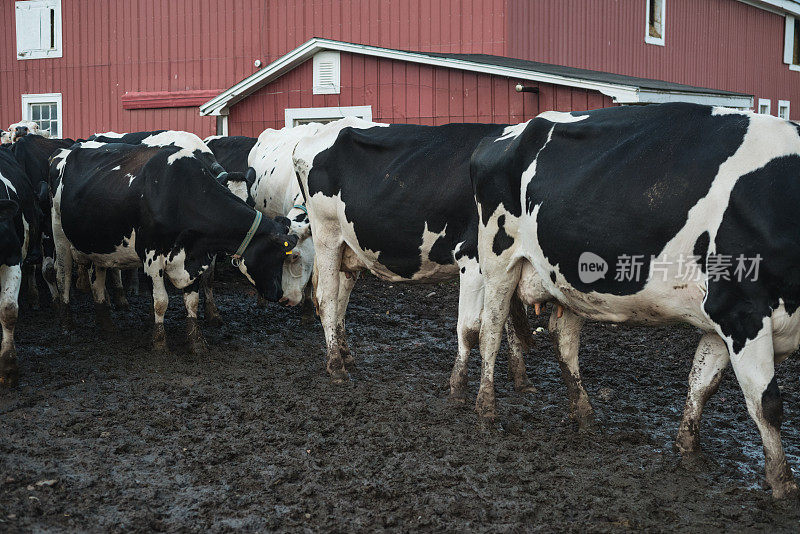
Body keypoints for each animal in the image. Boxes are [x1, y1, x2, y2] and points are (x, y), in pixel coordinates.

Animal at [50, 140, 300, 354]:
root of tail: (66, 151)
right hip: (59, 236)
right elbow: (161, 302)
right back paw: (66, 325)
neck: (180, 193)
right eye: (274, 254)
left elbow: (192, 302)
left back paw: (107, 325)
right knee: (63, 277)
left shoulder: (195, 258)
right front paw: (160, 343)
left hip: (100, 246)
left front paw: (196, 342)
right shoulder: (152, 259)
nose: (278, 294)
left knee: (98, 283)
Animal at [290, 119, 540, 398]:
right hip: (327, 236)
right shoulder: (472, 257)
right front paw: (458, 385)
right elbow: (470, 329)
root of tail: (318, 130)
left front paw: (521, 378)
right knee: (326, 299)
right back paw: (336, 366)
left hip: (348, 247)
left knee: (340, 300)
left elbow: (511, 324)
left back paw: (346, 356)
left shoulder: (508, 264)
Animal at [468, 103, 800, 498]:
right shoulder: (741, 311)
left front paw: (688, 450)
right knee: (490, 332)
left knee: (563, 339)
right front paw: (783, 483)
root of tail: (504, 133)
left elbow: (702, 383)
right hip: (498, 260)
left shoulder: (723, 322)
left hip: (570, 277)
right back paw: (486, 412)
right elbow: (766, 403)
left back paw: (584, 415)